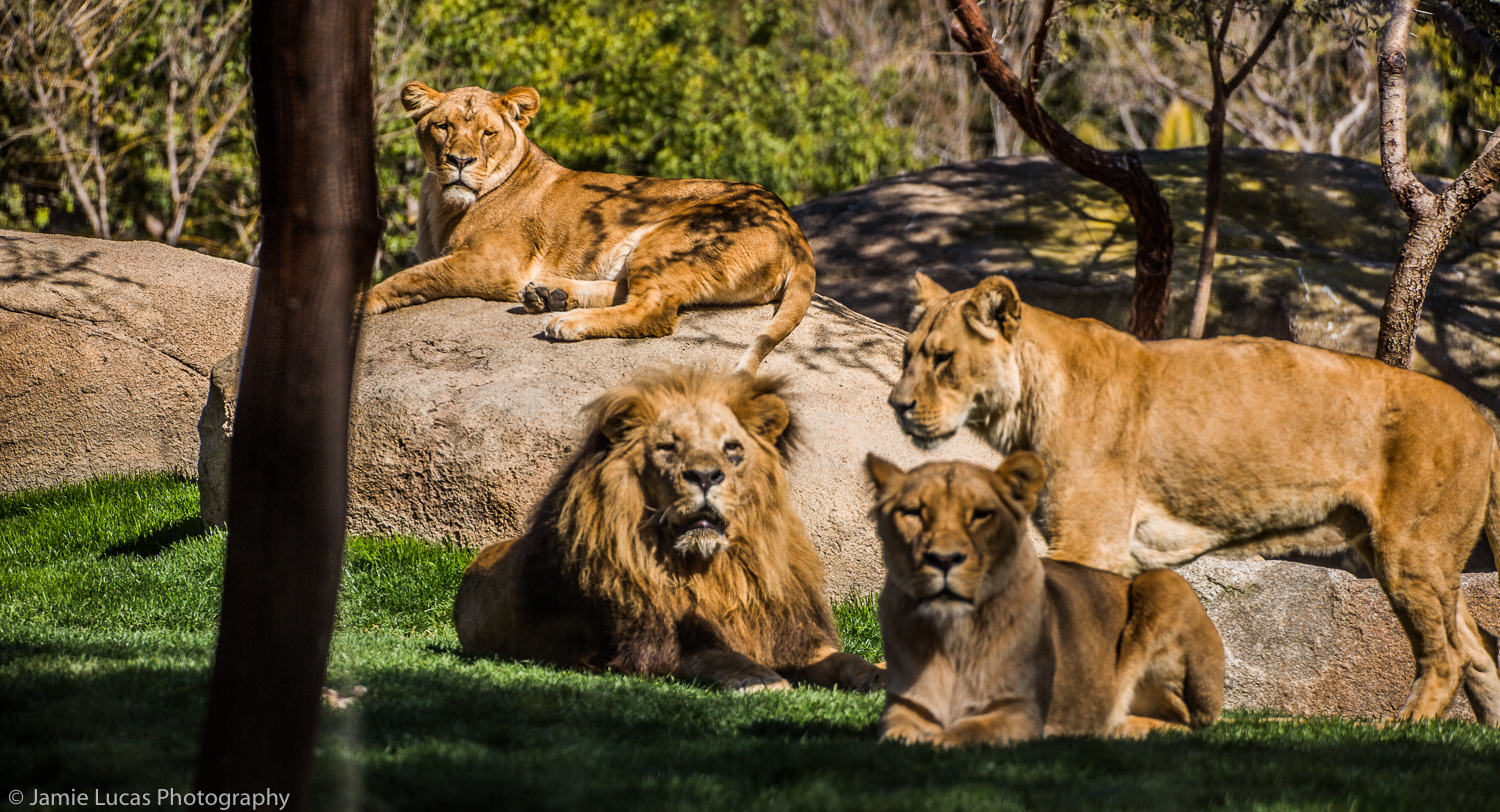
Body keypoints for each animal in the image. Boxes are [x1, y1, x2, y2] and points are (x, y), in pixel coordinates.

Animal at [360, 82, 818, 374]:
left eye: (488, 133)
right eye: (443, 126)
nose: (459, 161)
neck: (441, 201)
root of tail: (795, 232)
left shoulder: (494, 265)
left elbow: (410, 276)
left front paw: (360, 304)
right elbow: (415, 272)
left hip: (672, 236)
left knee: (653, 312)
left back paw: (565, 321)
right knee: (624, 291)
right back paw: (550, 295)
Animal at [452, 366, 883, 693]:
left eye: (732, 449)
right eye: (668, 448)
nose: (706, 476)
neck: (714, 572)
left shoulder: (794, 639)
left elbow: (848, 659)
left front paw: (879, 675)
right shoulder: (648, 646)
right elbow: (716, 655)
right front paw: (759, 678)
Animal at [867, 452, 1223, 746]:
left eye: (981, 515)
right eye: (913, 513)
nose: (943, 559)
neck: (953, 632)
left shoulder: (1021, 712)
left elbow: (962, 733)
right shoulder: (903, 708)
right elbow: (897, 734)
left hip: (1164, 583)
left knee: (1185, 722)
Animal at [887, 272, 1500, 725]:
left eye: (942, 358)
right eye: (907, 355)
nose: (897, 404)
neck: (1027, 400)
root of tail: (1483, 417)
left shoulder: (1090, 541)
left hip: (1409, 551)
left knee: (1446, 658)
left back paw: (1402, 730)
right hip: (1417, 557)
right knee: (1476, 652)